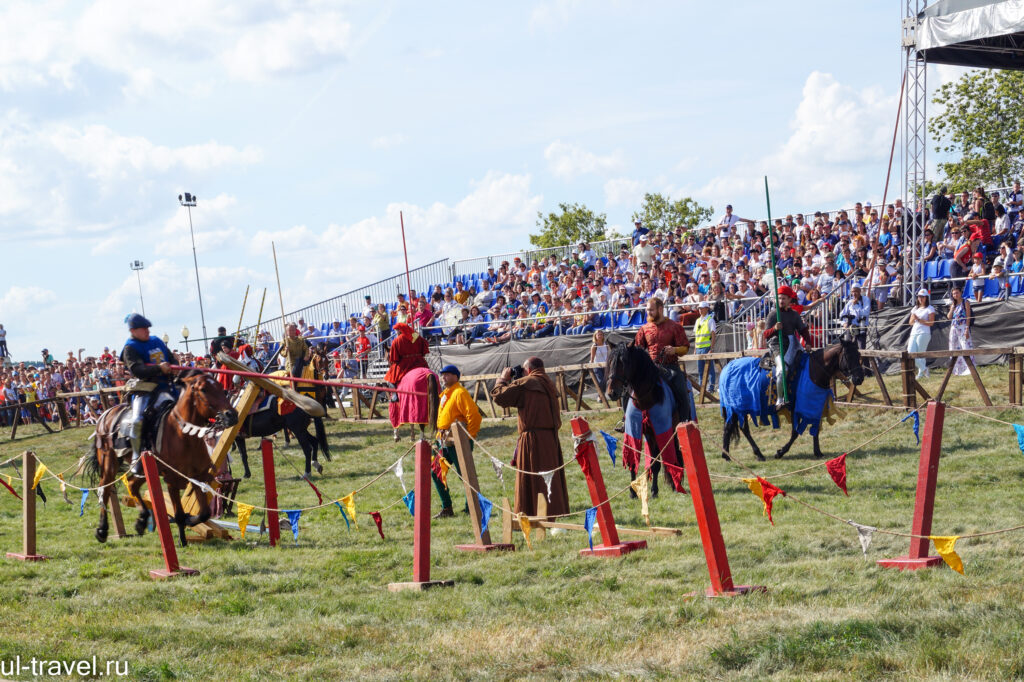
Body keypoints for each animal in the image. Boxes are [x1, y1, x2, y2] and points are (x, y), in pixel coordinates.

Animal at [85, 368, 237, 544]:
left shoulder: (198, 476)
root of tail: (105, 414)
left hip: (145, 468)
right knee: (105, 488)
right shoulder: (172, 479)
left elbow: (204, 514)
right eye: (204, 389)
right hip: (109, 462)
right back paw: (102, 530)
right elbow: (179, 514)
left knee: (132, 484)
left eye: (220, 386)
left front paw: (189, 521)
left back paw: (142, 520)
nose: (231, 415)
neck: (183, 436)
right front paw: (182, 539)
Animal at [606, 339, 696, 493]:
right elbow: (635, 459)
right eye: (610, 361)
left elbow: (656, 463)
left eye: (623, 363)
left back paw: (675, 483)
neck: (646, 399)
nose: (612, 393)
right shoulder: (642, 432)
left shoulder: (660, 430)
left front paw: (654, 491)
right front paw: (633, 491)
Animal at [720, 335, 864, 462]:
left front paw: (818, 452)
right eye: (848, 356)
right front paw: (780, 452)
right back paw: (745, 455)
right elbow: (795, 432)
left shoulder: (815, 405)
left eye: (858, 355)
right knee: (737, 427)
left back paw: (734, 455)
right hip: (738, 406)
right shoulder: (796, 407)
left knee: (736, 427)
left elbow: (815, 429)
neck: (813, 370)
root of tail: (727, 368)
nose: (859, 378)